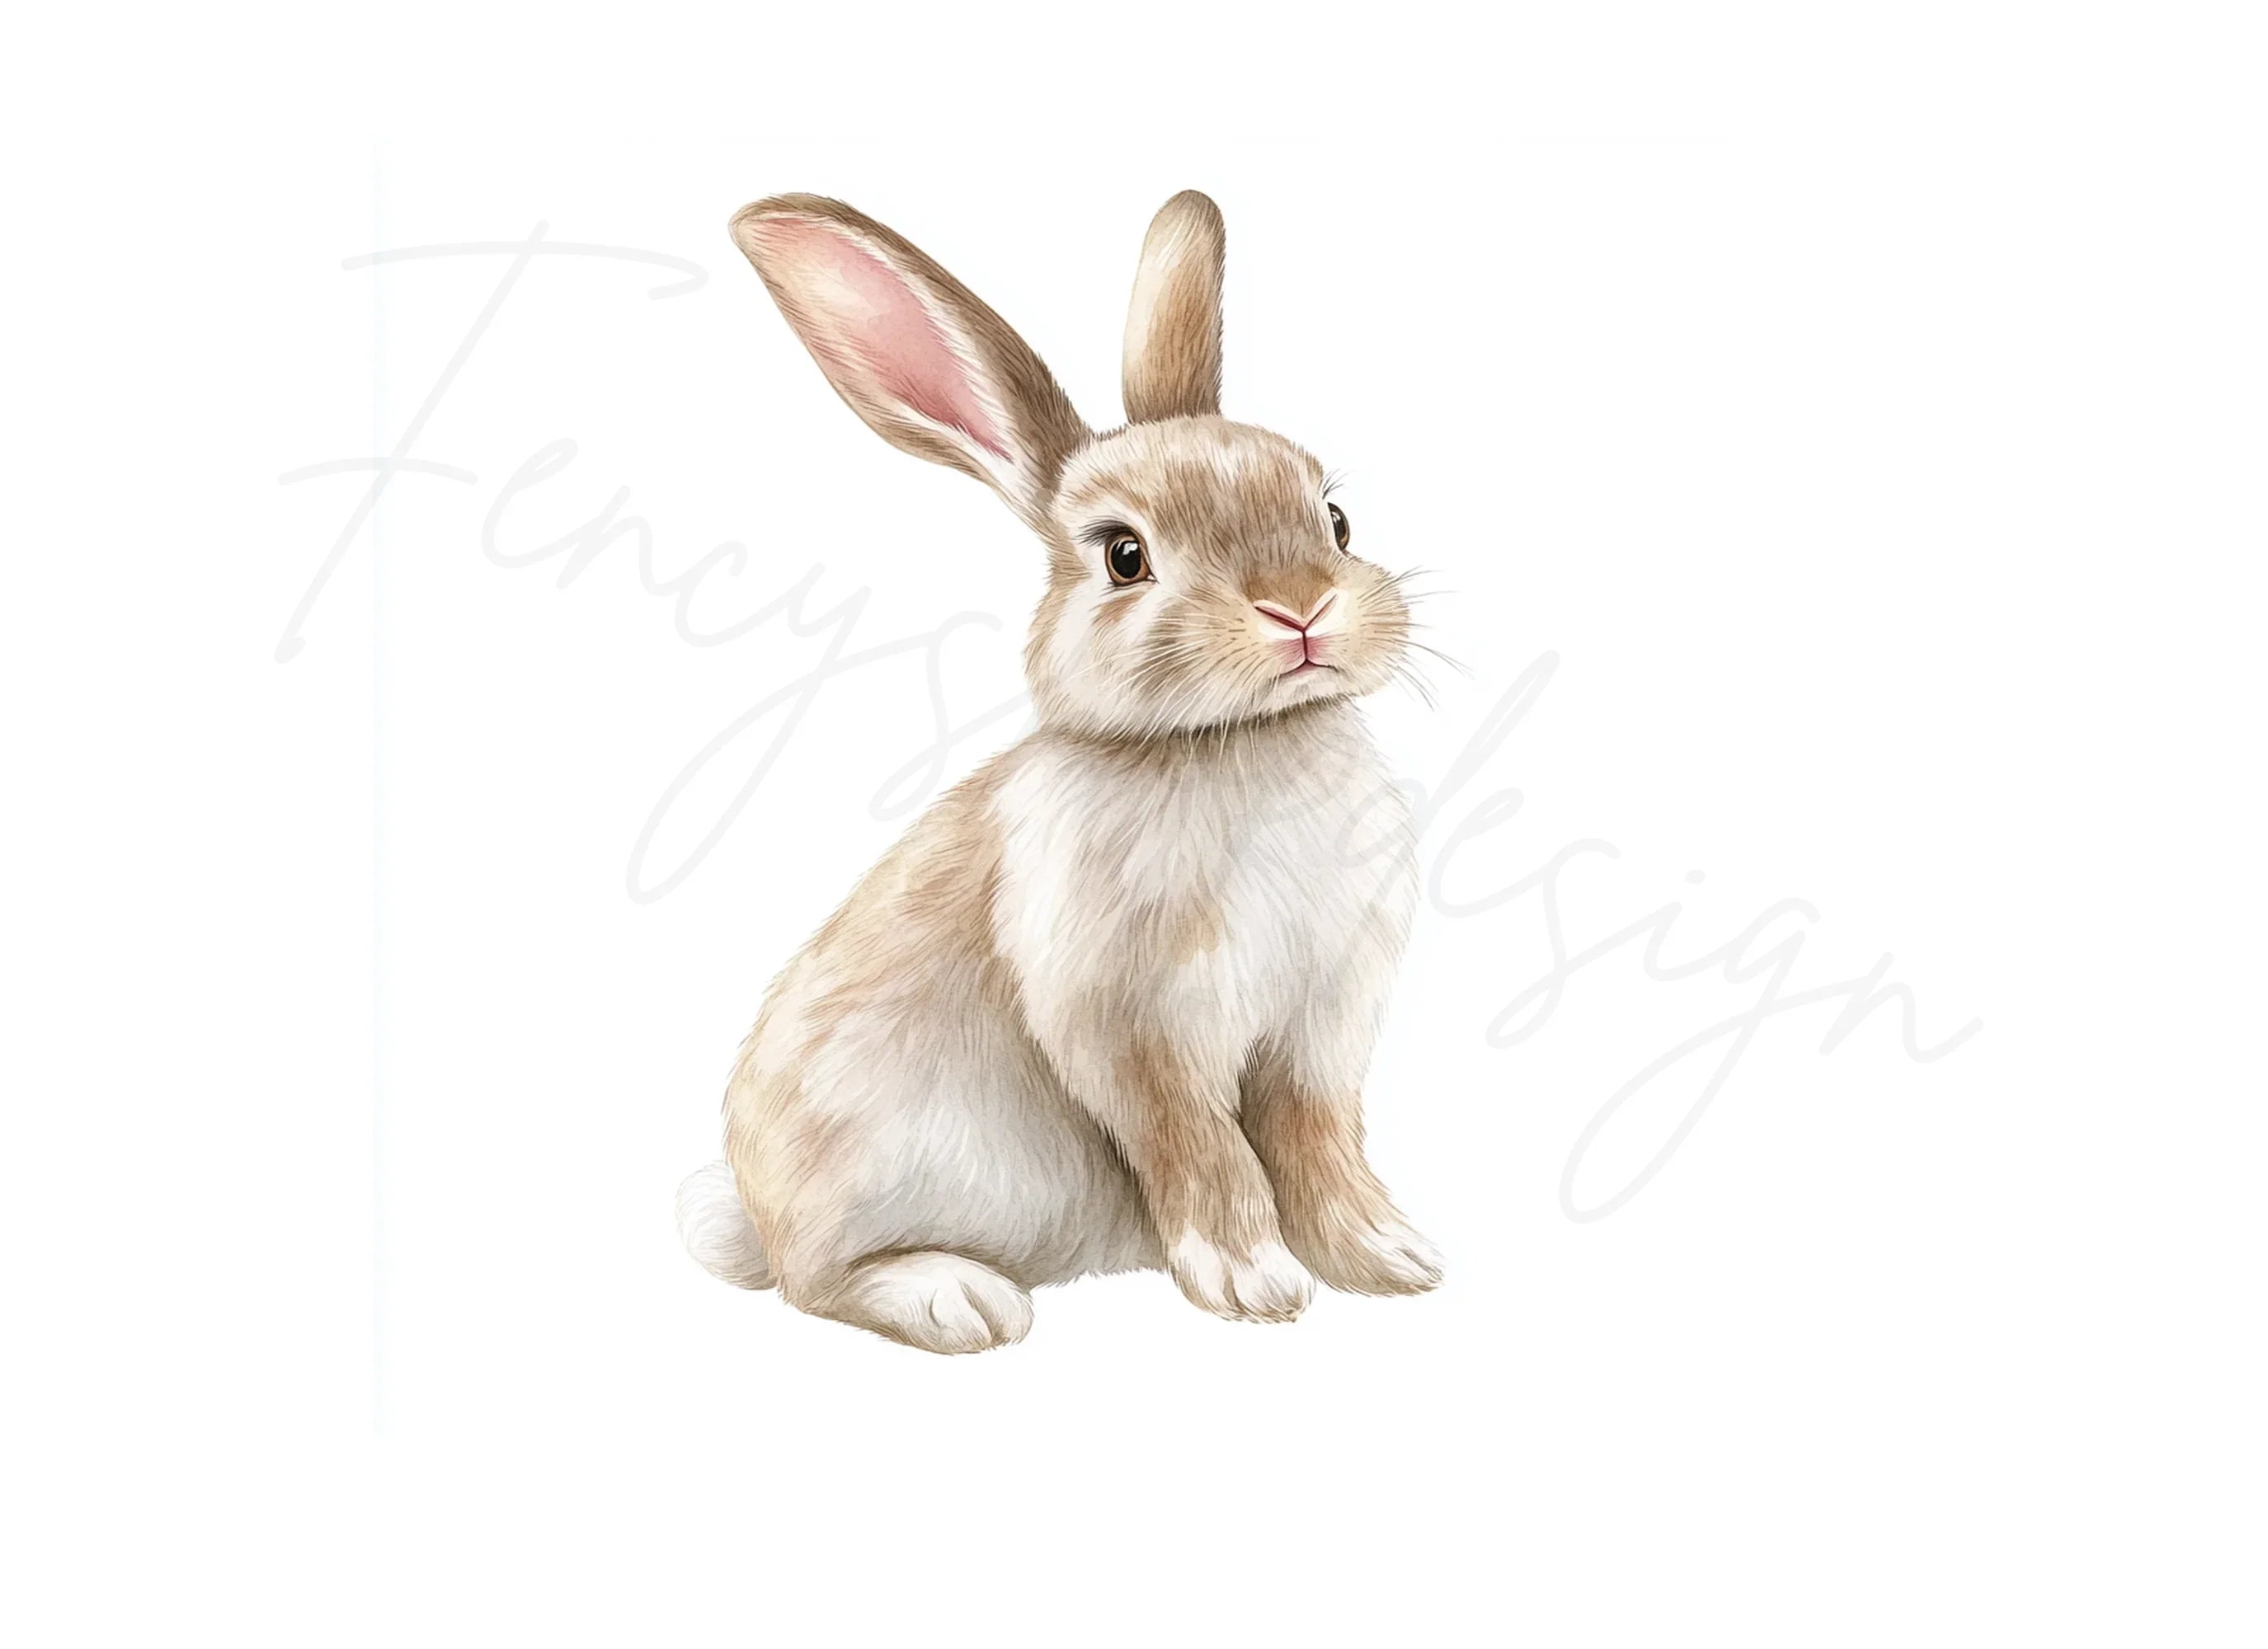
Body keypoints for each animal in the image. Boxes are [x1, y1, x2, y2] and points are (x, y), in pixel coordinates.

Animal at [675, 189, 1440, 1353]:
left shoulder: (1318, 1031)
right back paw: (955, 1297)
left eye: (1335, 518)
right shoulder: (1131, 1030)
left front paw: (1387, 1257)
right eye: (1124, 556)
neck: (1236, 740)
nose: (1300, 608)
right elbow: (1203, 1150)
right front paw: (1253, 1281)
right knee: (817, 1283)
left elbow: (1319, 1144)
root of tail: (753, 1220)